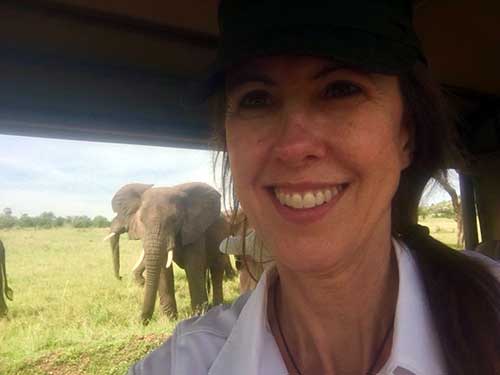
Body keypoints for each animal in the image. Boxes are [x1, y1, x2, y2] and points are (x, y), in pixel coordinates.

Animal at [106, 184, 233, 324]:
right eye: (141, 220)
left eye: (175, 220)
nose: (142, 322)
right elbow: (163, 270)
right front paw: (170, 319)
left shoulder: (193, 230)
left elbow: (193, 267)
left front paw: (198, 316)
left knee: (216, 269)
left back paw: (217, 307)